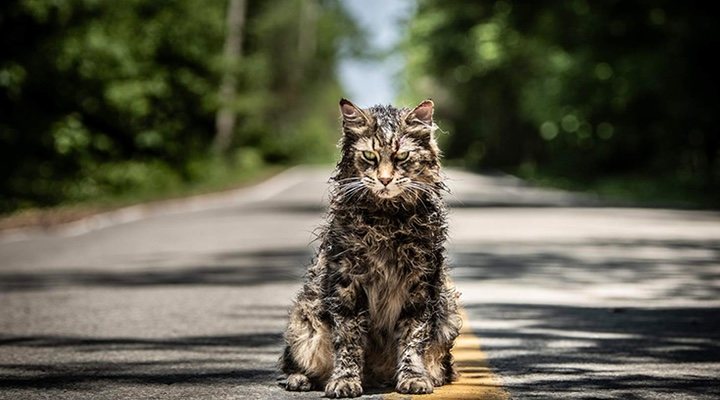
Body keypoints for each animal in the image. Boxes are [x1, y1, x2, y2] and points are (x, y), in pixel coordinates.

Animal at [278, 99, 458, 396]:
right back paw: (300, 379)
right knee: (293, 362)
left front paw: (413, 377)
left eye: (402, 157)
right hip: (304, 320)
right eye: (370, 156)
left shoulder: (420, 284)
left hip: (448, 315)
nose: (384, 180)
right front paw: (345, 380)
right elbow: (348, 340)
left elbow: (413, 338)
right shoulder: (347, 283)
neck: (387, 221)